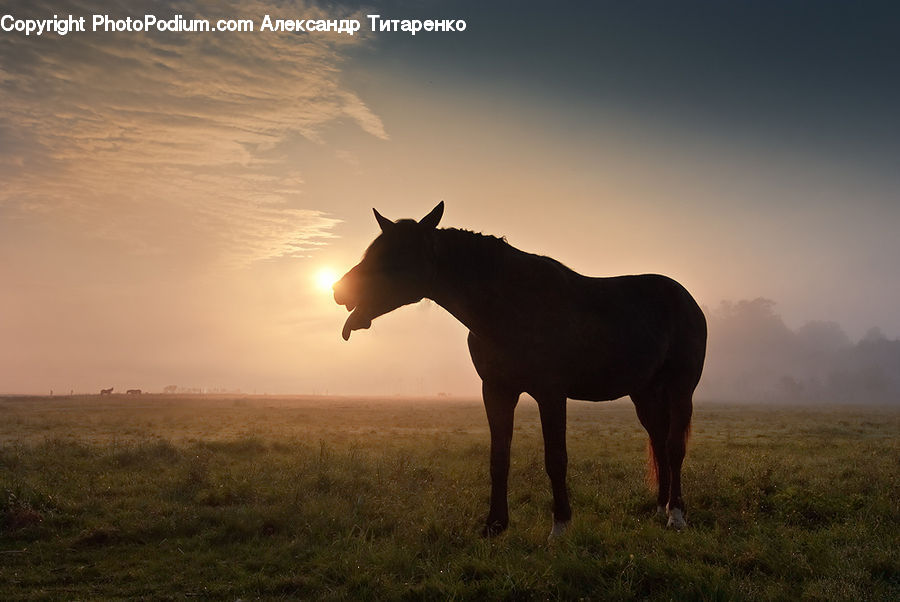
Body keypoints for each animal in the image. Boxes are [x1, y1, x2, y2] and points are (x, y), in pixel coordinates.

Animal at [333, 202, 707, 537]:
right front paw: (495, 525)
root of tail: (685, 298)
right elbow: (499, 458)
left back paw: (676, 515)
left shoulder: (551, 395)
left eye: (397, 254)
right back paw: (660, 507)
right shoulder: (497, 391)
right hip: (644, 392)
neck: (510, 306)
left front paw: (560, 525)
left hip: (680, 389)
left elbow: (556, 458)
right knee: (658, 440)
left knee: (674, 447)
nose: (339, 290)